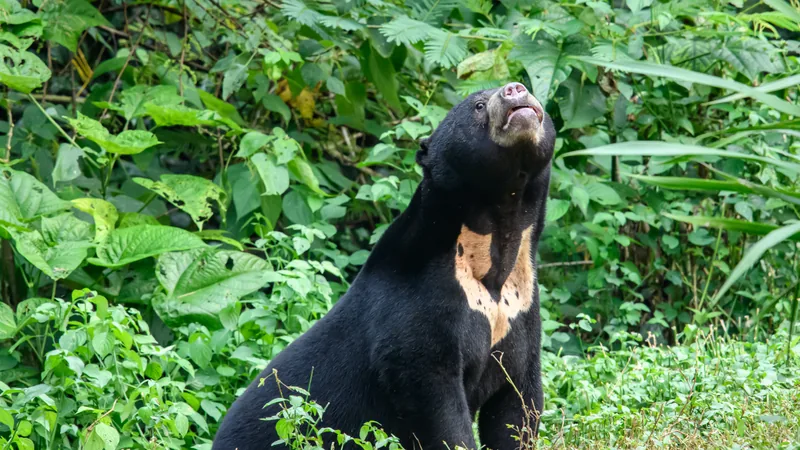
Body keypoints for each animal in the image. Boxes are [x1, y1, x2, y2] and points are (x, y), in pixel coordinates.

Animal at [213, 81, 556, 450]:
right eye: (478, 105)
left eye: (527, 88)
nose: (515, 89)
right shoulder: (417, 312)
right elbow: (437, 406)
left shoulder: (521, 314)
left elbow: (517, 406)